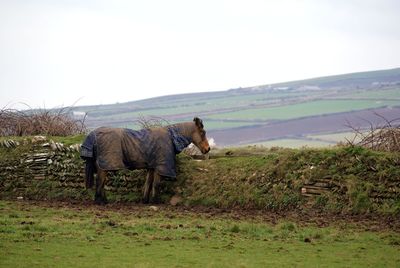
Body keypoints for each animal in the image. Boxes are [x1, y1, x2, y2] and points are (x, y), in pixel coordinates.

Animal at [80, 116, 211, 203]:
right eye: (202, 132)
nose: (208, 149)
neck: (171, 137)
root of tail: (94, 134)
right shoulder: (160, 166)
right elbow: (156, 184)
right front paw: (155, 201)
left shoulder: (152, 166)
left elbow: (148, 183)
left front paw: (145, 200)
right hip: (105, 164)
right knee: (100, 181)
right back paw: (100, 201)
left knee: (101, 182)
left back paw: (103, 199)